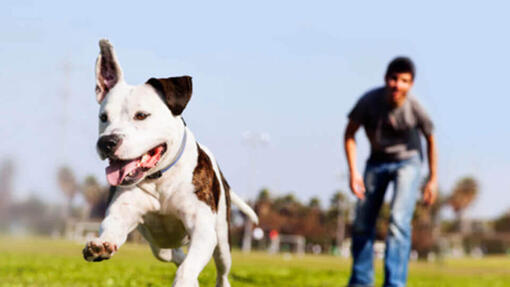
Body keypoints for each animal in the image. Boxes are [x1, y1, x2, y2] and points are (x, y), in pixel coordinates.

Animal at [84, 40, 260, 287]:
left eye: (141, 115)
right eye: (103, 117)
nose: (107, 142)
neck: (160, 178)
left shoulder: (202, 229)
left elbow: (188, 268)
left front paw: (184, 280)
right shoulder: (121, 213)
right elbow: (112, 227)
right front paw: (101, 246)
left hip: (222, 239)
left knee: (221, 270)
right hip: (159, 245)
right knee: (174, 254)